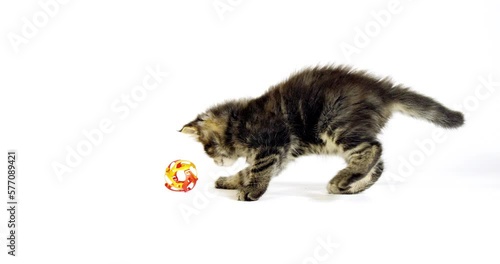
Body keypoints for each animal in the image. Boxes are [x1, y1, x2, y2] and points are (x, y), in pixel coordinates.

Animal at [180, 65, 464, 200]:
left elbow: (257, 171)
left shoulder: (273, 145)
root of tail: (382, 90)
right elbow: (246, 171)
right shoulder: (281, 155)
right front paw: (229, 181)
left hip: (338, 124)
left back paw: (341, 179)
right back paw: (349, 185)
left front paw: (251, 191)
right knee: (378, 162)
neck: (240, 122)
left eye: (208, 149)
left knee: (373, 149)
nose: (216, 162)